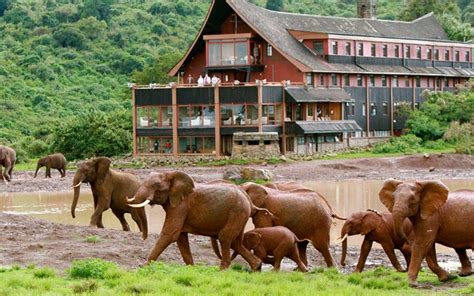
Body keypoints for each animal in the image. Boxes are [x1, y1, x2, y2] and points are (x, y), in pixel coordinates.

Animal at [128, 171, 262, 270]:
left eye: (157, 186)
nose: (143, 237)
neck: (170, 174)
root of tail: (246, 196)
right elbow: (180, 237)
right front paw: (192, 270)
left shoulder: (181, 205)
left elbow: (170, 234)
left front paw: (144, 268)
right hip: (240, 215)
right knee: (236, 242)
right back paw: (257, 267)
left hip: (237, 213)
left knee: (225, 238)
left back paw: (221, 272)